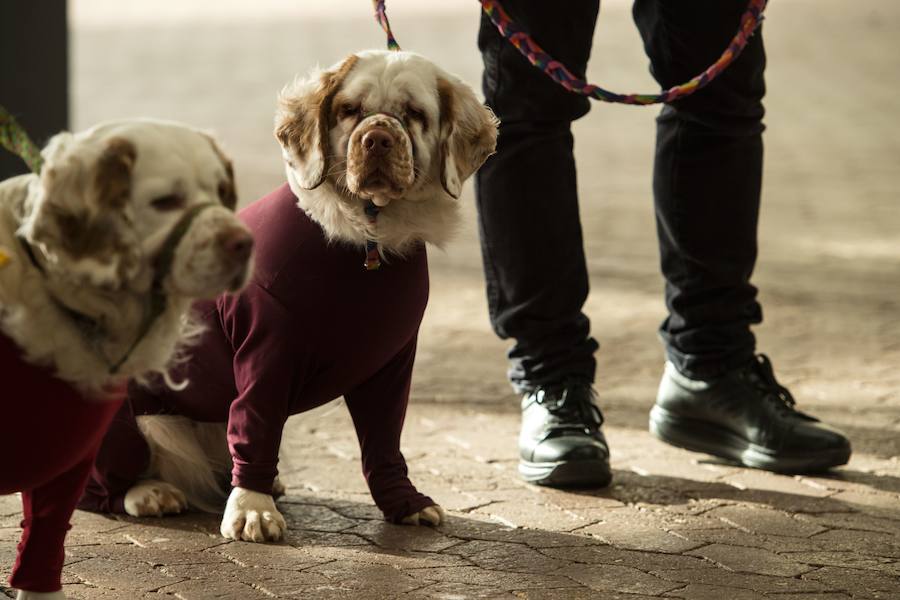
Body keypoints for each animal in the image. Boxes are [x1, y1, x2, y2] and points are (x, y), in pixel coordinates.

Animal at [83, 49, 500, 540]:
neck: (368, 238)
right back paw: (148, 492)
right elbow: (257, 428)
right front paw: (253, 509)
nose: (377, 138)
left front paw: (405, 501)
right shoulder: (265, 351)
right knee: (96, 486)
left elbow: (384, 440)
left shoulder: (392, 365)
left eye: (414, 114)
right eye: (349, 110)